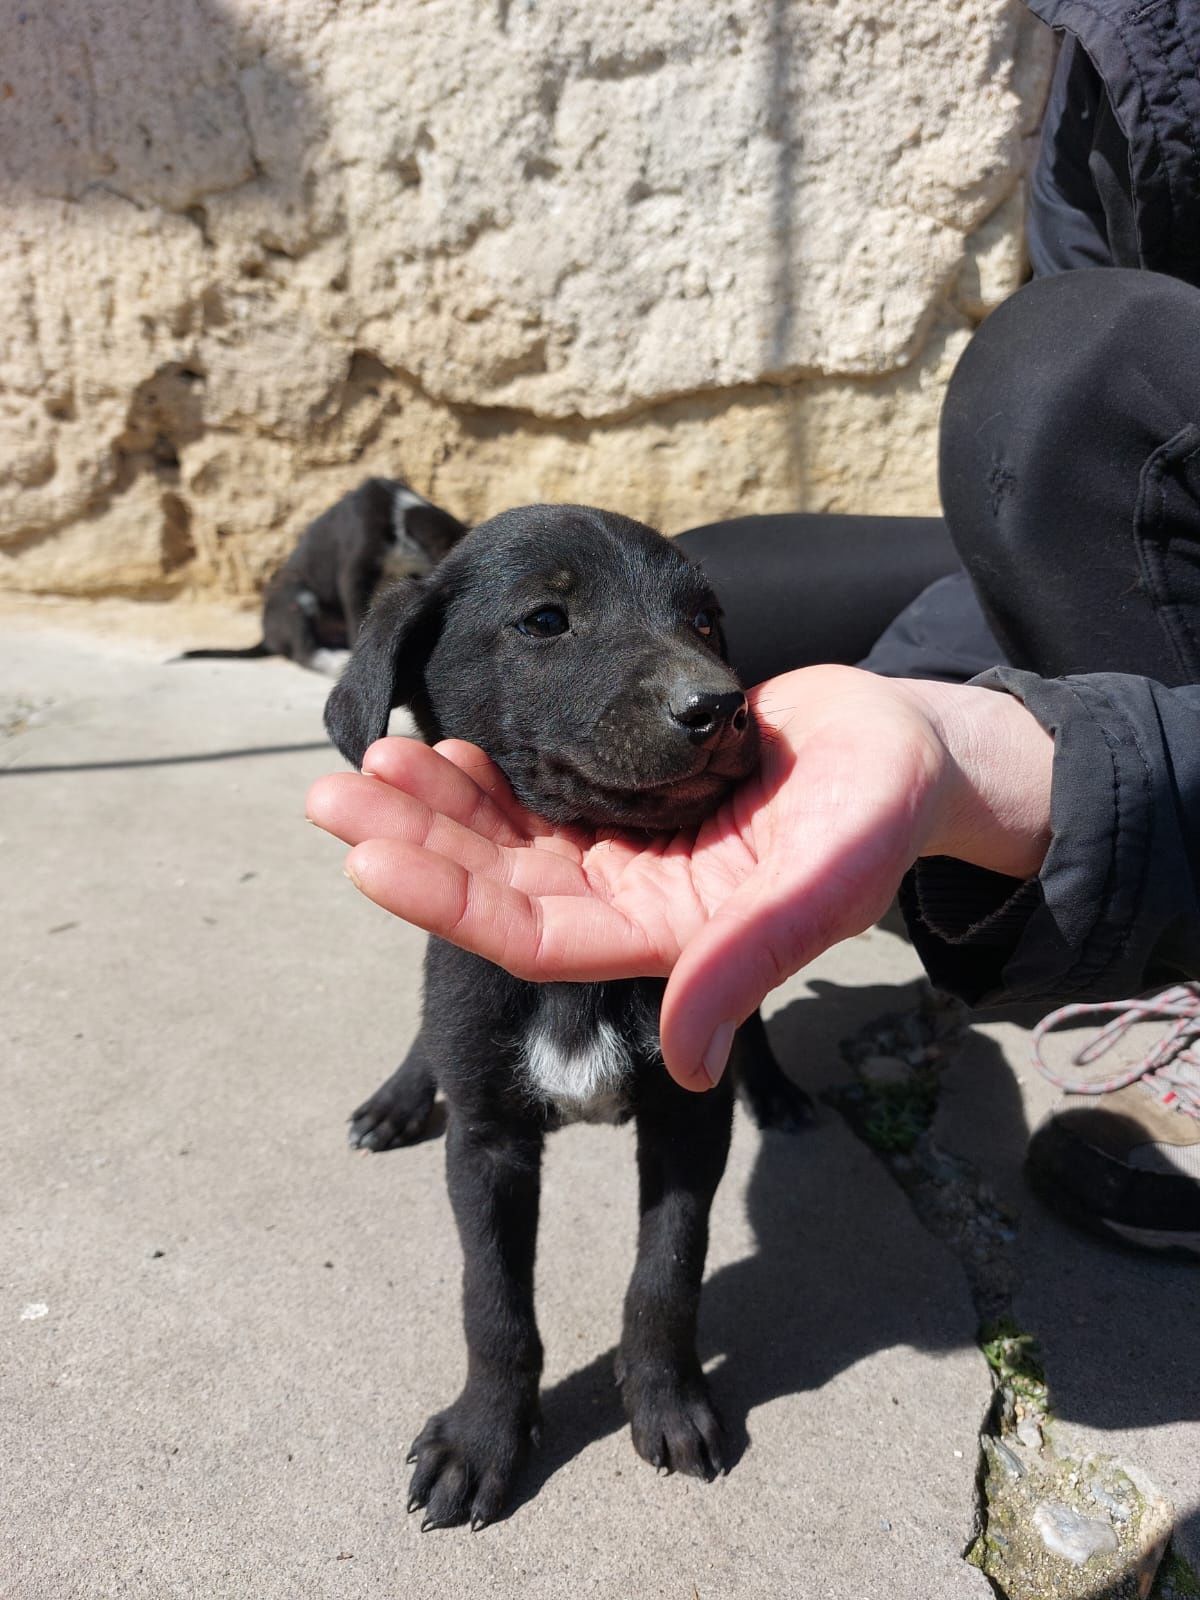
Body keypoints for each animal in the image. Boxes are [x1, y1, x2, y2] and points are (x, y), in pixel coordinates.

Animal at [178, 476, 464, 672]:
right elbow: (357, 612)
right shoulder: (355, 572)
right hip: (295, 598)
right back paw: (332, 661)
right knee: (303, 651)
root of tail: (266, 638)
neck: (401, 523)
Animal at [324, 505, 812, 1529]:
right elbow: (493, 1302)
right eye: (546, 621)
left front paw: (667, 1400)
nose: (721, 707)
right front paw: (483, 1438)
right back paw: (397, 1097)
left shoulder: (689, 1117)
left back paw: (779, 1090)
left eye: (706, 621)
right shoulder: (487, 1139)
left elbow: (667, 1271)